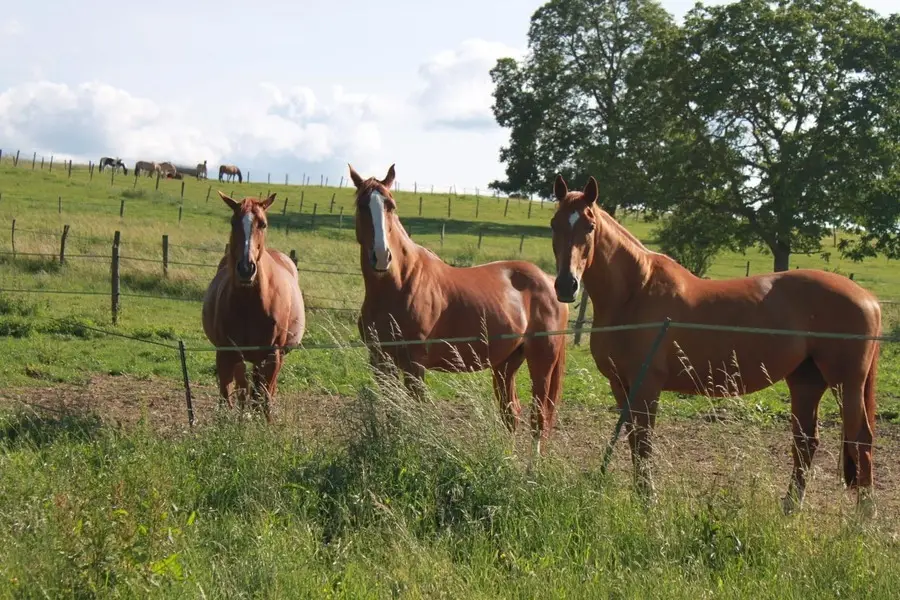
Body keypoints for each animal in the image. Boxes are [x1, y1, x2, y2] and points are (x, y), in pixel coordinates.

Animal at [201, 192, 306, 423]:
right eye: (233, 222)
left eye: (263, 224)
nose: (246, 268)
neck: (251, 303)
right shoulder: (227, 353)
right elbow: (229, 395)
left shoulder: (272, 356)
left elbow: (264, 397)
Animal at [350, 164, 569, 459]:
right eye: (362, 205)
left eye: (390, 206)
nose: (382, 256)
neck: (399, 284)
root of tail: (548, 280)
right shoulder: (379, 360)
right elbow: (392, 410)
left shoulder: (415, 363)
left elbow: (415, 411)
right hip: (506, 364)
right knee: (511, 413)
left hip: (542, 361)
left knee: (540, 417)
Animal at [549, 174, 882, 516]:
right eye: (554, 224)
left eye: (589, 226)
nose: (566, 285)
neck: (636, 291)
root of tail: (868, 298)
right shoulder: (621, 384)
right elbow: (633, 440)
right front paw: (642, 497)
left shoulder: (647, 386)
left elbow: (644, 441)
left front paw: (648, 501)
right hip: (806, 381)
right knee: (806, 441)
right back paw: (790, 507)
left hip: (845, 383)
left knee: (860, 438)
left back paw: (864, 515)